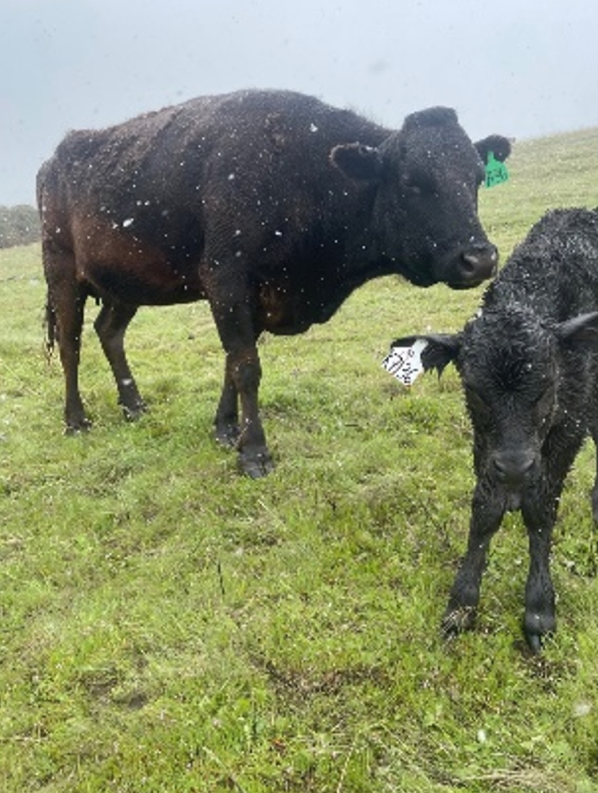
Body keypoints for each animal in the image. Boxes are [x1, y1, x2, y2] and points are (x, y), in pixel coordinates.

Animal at [38, 88, 510, 477]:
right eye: (413, 182)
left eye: (476, 178)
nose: (480, 258)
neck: (299, 173)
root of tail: (55, 157)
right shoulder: (226, 278)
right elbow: (246, 367)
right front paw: (255, 452)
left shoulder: (255, 298)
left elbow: (232, 364)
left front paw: (226, 429)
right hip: (61, 272)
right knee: (71, 345)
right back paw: (76, 420)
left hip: (126, 284)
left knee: (109, 332)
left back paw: (134, 406)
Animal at [392, 208, 598, 651]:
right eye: (474, 389)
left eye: (548, 385)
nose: (516, 467)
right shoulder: (485, 445)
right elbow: (485, 511)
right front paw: (461, 605)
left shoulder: (567, 432)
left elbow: (540, 509)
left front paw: (539, 610)